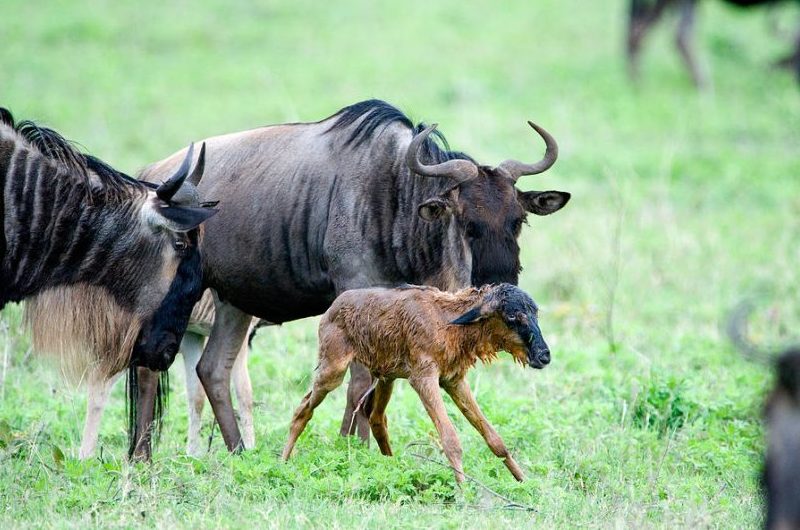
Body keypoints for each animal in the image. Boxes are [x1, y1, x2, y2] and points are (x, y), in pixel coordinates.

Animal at [282, 282, 552, 480]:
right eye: (513, 316)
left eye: (535, 313)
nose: (544, 356)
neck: (447, 321)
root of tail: (333, 307)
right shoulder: (423, 379)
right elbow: (451, 439)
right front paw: (464, 491)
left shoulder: (454, 381)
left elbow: (494, 438)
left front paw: (523, 482)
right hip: (333, 372)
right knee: (302, 409)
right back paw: (282, 462)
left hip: (386, 378)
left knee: (377, 419)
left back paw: (390, 465)